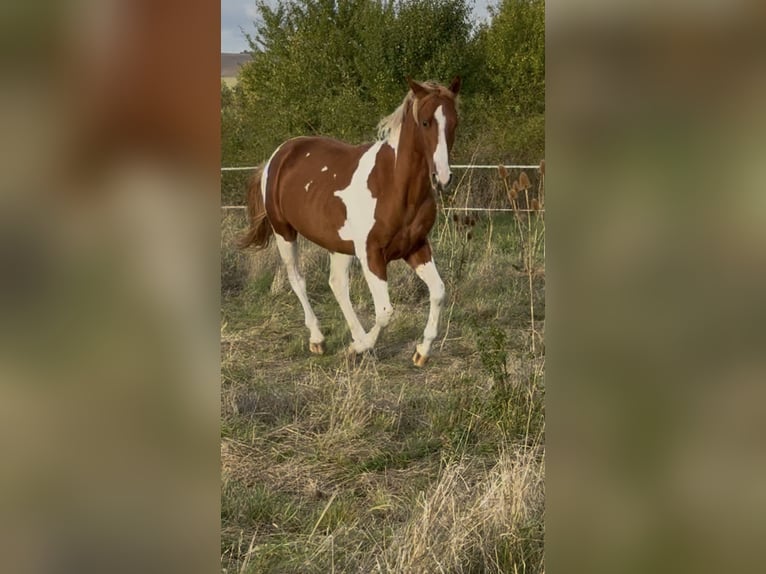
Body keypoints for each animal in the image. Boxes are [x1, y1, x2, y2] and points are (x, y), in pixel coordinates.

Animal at [239, 77, 460, 366]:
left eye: (455, 122)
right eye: (425, 122)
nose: (442, 178)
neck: (393, 184)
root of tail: (278, 155)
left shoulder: (416, 247)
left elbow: (438, 292)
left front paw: (421, 352)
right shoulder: (371, 254)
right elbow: (385, 312)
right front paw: (358, 348)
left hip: (339, 245)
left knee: (337, 285)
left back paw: (354, 336)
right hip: (283, 232)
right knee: (297, 279)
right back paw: (318, 340)